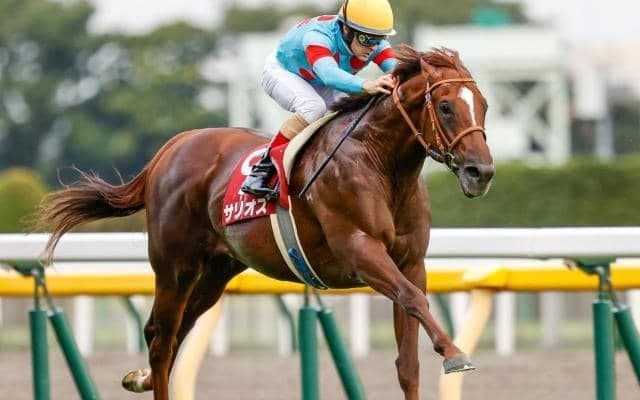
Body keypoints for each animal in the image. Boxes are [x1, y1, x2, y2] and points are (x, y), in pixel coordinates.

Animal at [37, 44, 494, 400]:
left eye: (484, 105)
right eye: (446, 106)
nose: (482, 172)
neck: (381, 164)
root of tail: (173, 146)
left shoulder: (410, 262)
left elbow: (408, 355)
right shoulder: (360, 249)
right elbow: (414, 300)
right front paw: (455, 353)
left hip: (217, 271)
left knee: (173, 330)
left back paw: (141, 378)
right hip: (174, 267)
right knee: (162, 339)